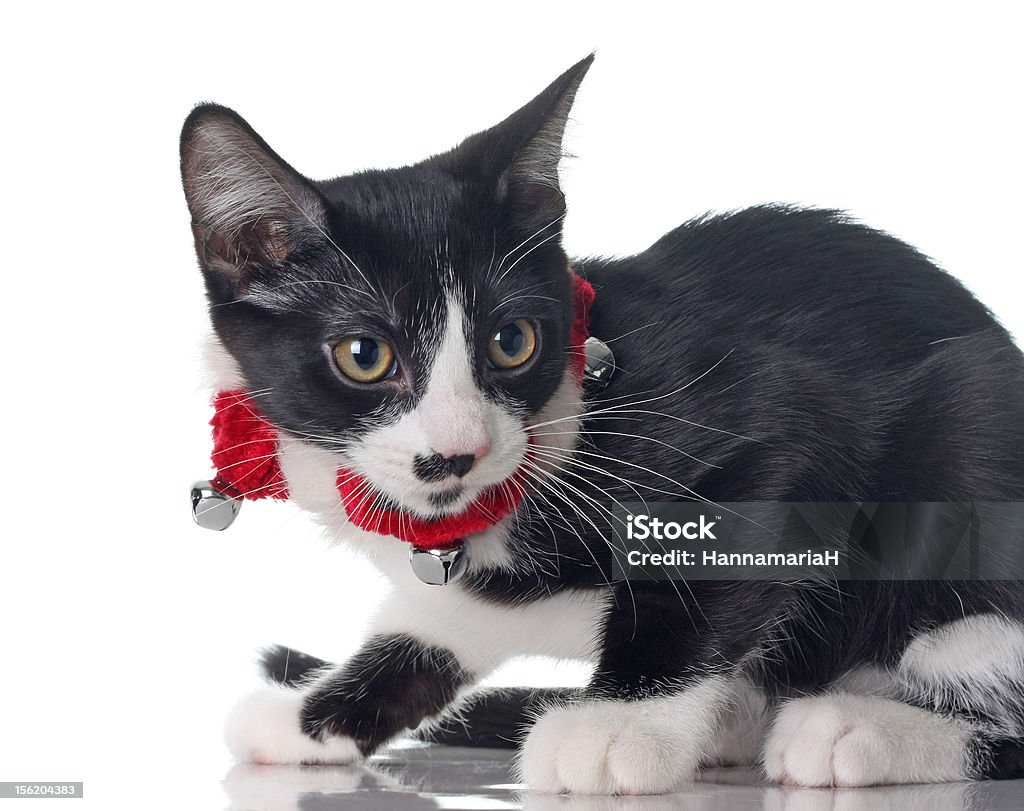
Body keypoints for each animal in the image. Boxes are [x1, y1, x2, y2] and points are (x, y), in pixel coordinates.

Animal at [180, 55, 1024, 790]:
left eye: (512, 340)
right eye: (364, 355)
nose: (457, 452)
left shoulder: (775, 425)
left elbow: (701, 566)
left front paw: (621, 726)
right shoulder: (458, 577)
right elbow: (441, 618)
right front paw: (311, 715)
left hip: (971, 432)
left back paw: (857, 726)